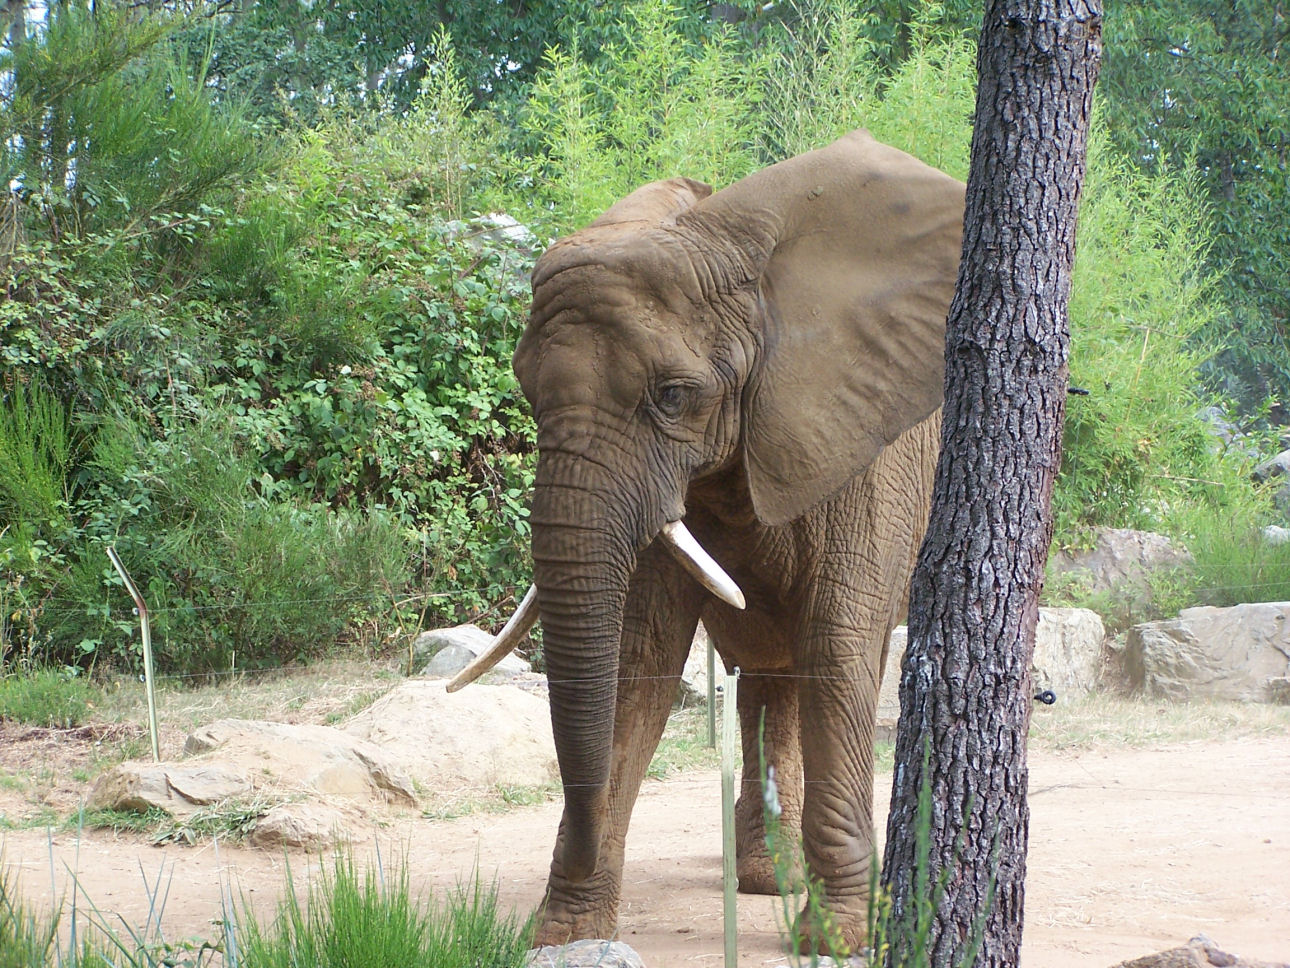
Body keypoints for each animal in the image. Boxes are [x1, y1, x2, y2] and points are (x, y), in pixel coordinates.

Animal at [448, 129, 964, 955]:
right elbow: (638, 657)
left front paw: (839, 940)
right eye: (527, 389)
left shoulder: (865, 444)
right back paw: (767, 877)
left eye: (672, 396)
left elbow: (838, 644)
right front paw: (563, 936)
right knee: (769, 674)